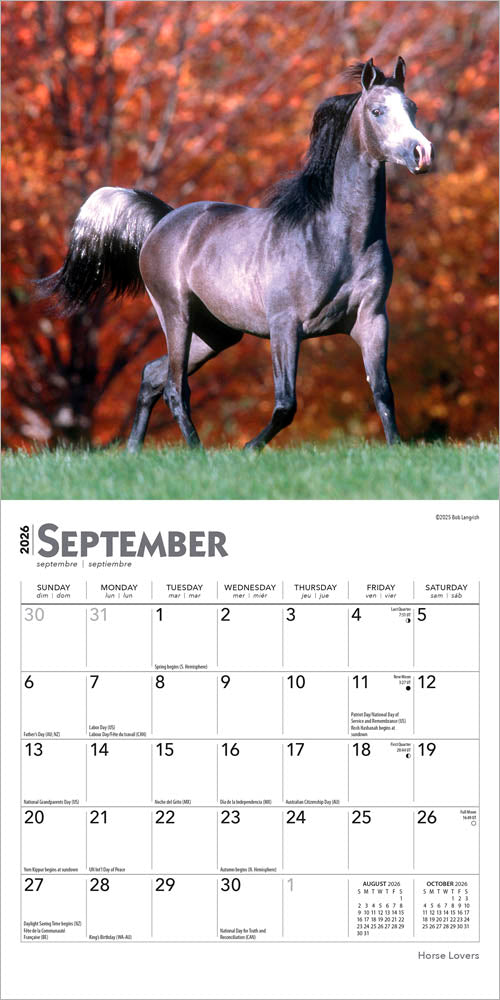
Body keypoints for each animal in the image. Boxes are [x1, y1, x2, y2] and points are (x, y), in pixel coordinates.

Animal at [37, 57, 433, 452]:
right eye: (377, 111)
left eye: (412, 107)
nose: (422, 153)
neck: (337, 238)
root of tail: (162, 221)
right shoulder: (285, 325)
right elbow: (286, 404)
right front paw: (249, 449)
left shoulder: (372, 320)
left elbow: (382, 392)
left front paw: (396, 449)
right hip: (176, 315)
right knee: (174, 388)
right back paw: (196, 451)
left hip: (216, 333)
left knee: (152, 375)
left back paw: (134, 450)